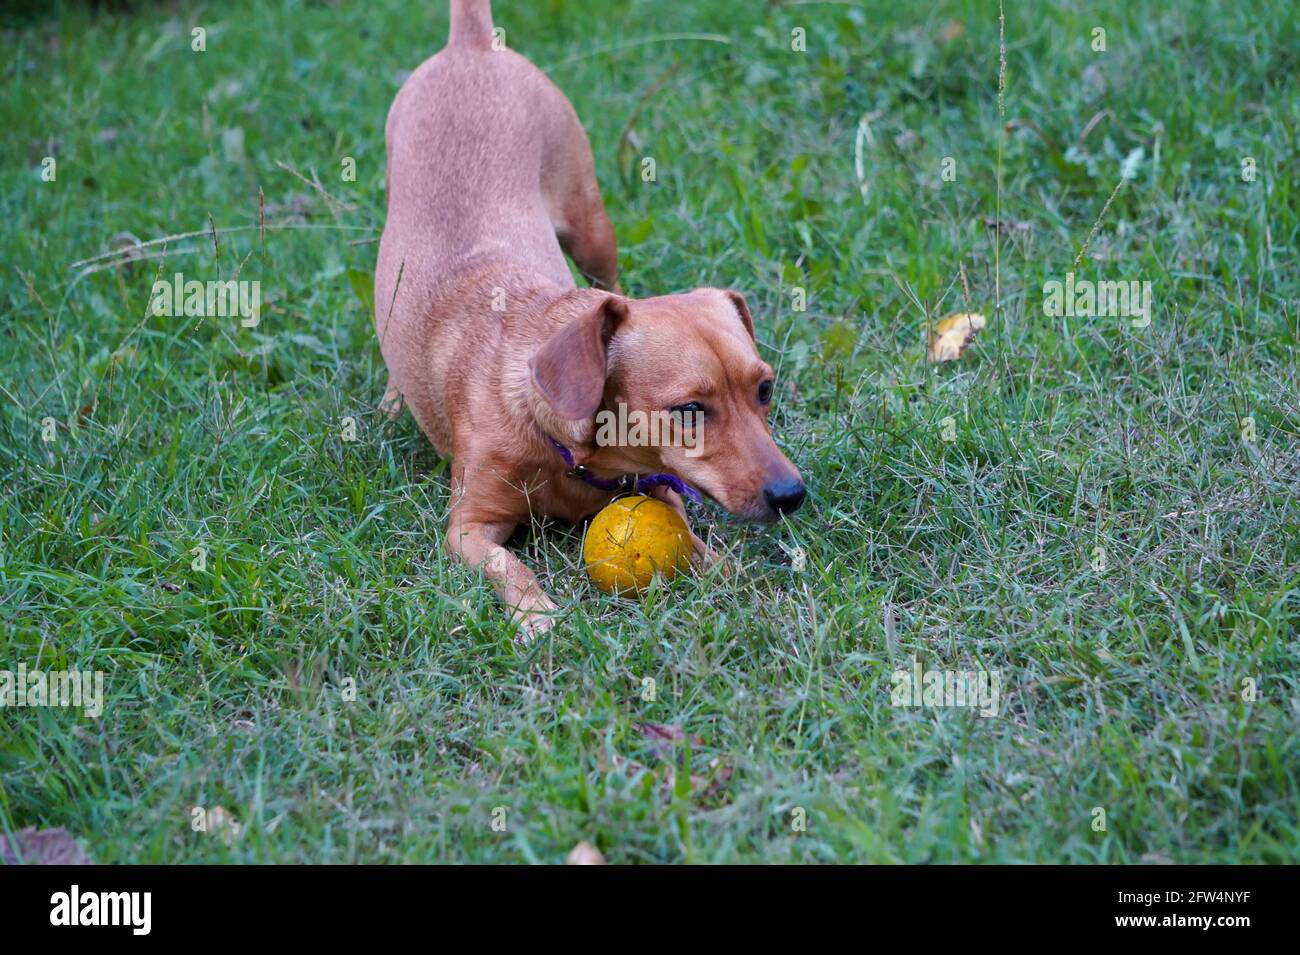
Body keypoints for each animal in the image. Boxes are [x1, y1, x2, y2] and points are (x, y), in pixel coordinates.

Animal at [377, 1, 800, 641]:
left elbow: (693, 541)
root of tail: (470, 44)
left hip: (591, 227)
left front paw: (728, 572)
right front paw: (538, 615)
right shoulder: (467, 528)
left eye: (766, 389)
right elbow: (509, 564)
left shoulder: (662, 488)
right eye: (689, 410)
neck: (571, 453)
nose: (792, 494)